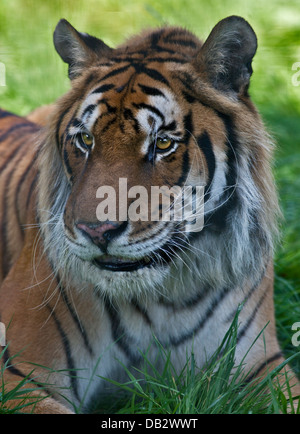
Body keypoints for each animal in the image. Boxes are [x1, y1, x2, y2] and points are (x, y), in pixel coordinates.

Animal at [0, 14, 298, 414]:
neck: (168, 296)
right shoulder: (19, 372)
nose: (96, 231)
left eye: (163, 143)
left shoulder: (263, 365)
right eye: (86, 140)